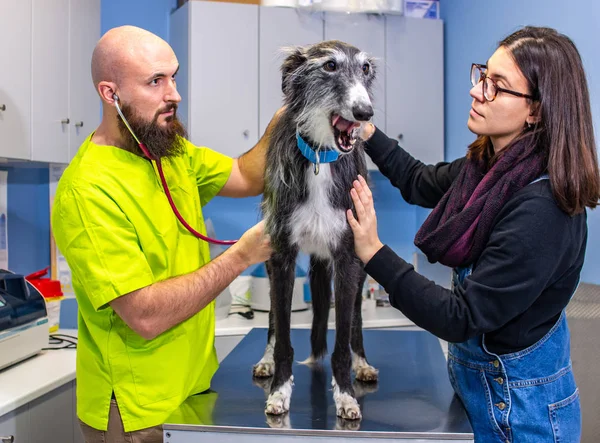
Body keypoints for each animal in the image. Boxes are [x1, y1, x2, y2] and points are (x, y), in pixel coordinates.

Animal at [253, 40, 380, 420]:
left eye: (365, 69)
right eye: (329, 66)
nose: (365, 113)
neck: (321, 160)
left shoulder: (348, 257)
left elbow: (341, 341)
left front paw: (346, 395)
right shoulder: (281, 256)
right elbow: (282, 336)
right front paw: (279, 391)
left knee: (355, 323)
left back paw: (362, 363)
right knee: (272, 321)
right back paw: (265, 360)